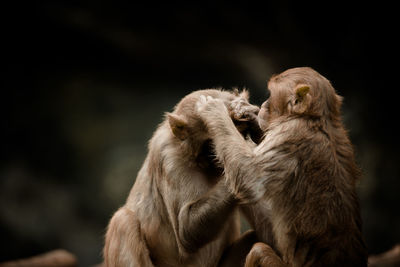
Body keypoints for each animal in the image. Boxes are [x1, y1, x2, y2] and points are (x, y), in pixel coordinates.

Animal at [101, 89, 260, 266]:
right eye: (213, 142)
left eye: (240, 132)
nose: (221, 158)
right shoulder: (169, 157)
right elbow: (186, 231)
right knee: (122, 221)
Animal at [195, 68, 368, 267]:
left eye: (271, 94)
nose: (263, 104)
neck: (316, 120)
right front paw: (249, 115)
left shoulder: (289, 136)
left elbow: (250, 179)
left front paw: (213, 110)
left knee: (259, 250)